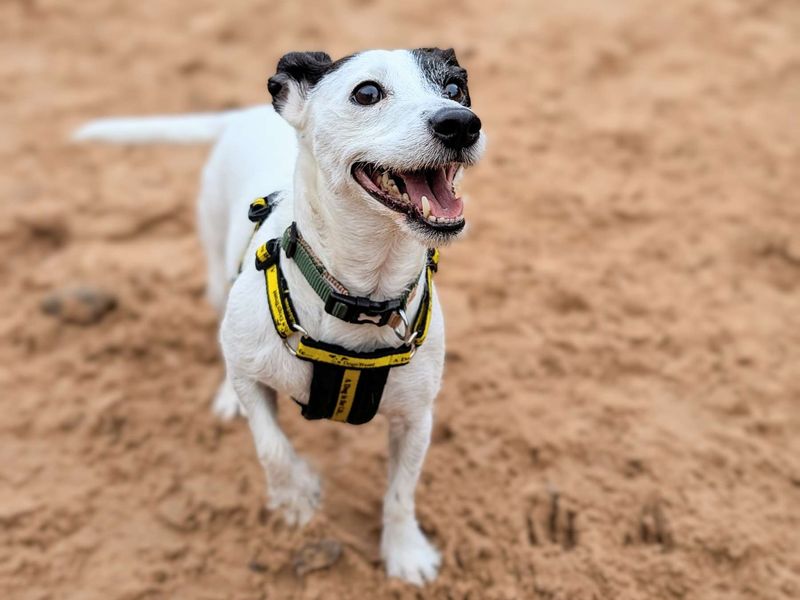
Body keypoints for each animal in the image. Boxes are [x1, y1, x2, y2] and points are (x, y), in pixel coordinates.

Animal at [75, 48, 484, 584]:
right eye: (367, 92)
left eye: (456, 88)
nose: (461, 124)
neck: (359, 297)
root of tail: (246, 114)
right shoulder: (254, 375)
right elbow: (271, 447)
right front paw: (297, 498)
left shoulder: (416, 418)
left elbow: (401, 492)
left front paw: (405, 552)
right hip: (217, 276)